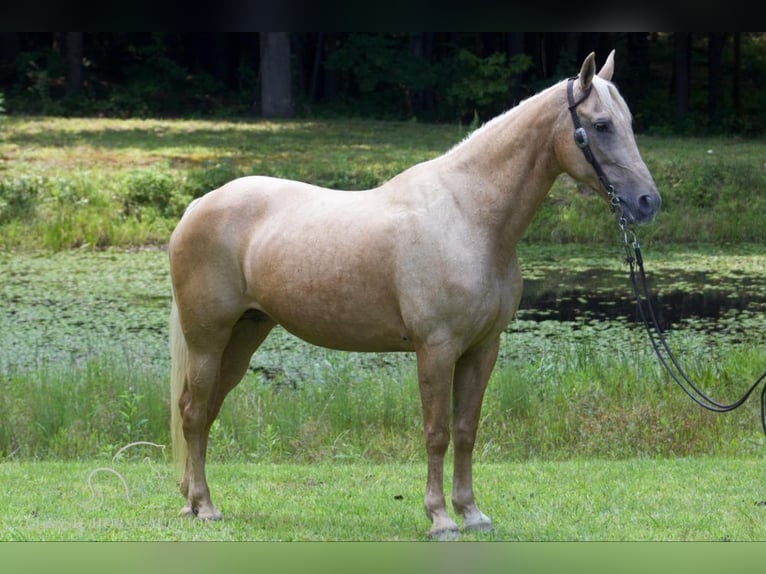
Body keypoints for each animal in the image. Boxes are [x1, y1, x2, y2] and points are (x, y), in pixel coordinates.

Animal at [168, 51, 660, 544]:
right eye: (600, 125)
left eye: (629, 122)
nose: (647, 202)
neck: (469, 217)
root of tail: (196, 206)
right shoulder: (437, 349)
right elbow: (436, 432)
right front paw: (440, 518)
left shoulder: (483, 348)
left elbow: (465, 429)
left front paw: (472, 513)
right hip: (208, 338)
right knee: (193, 411)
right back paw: (206, 507)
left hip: (245, 335)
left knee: (205, 410)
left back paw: (191, 502)